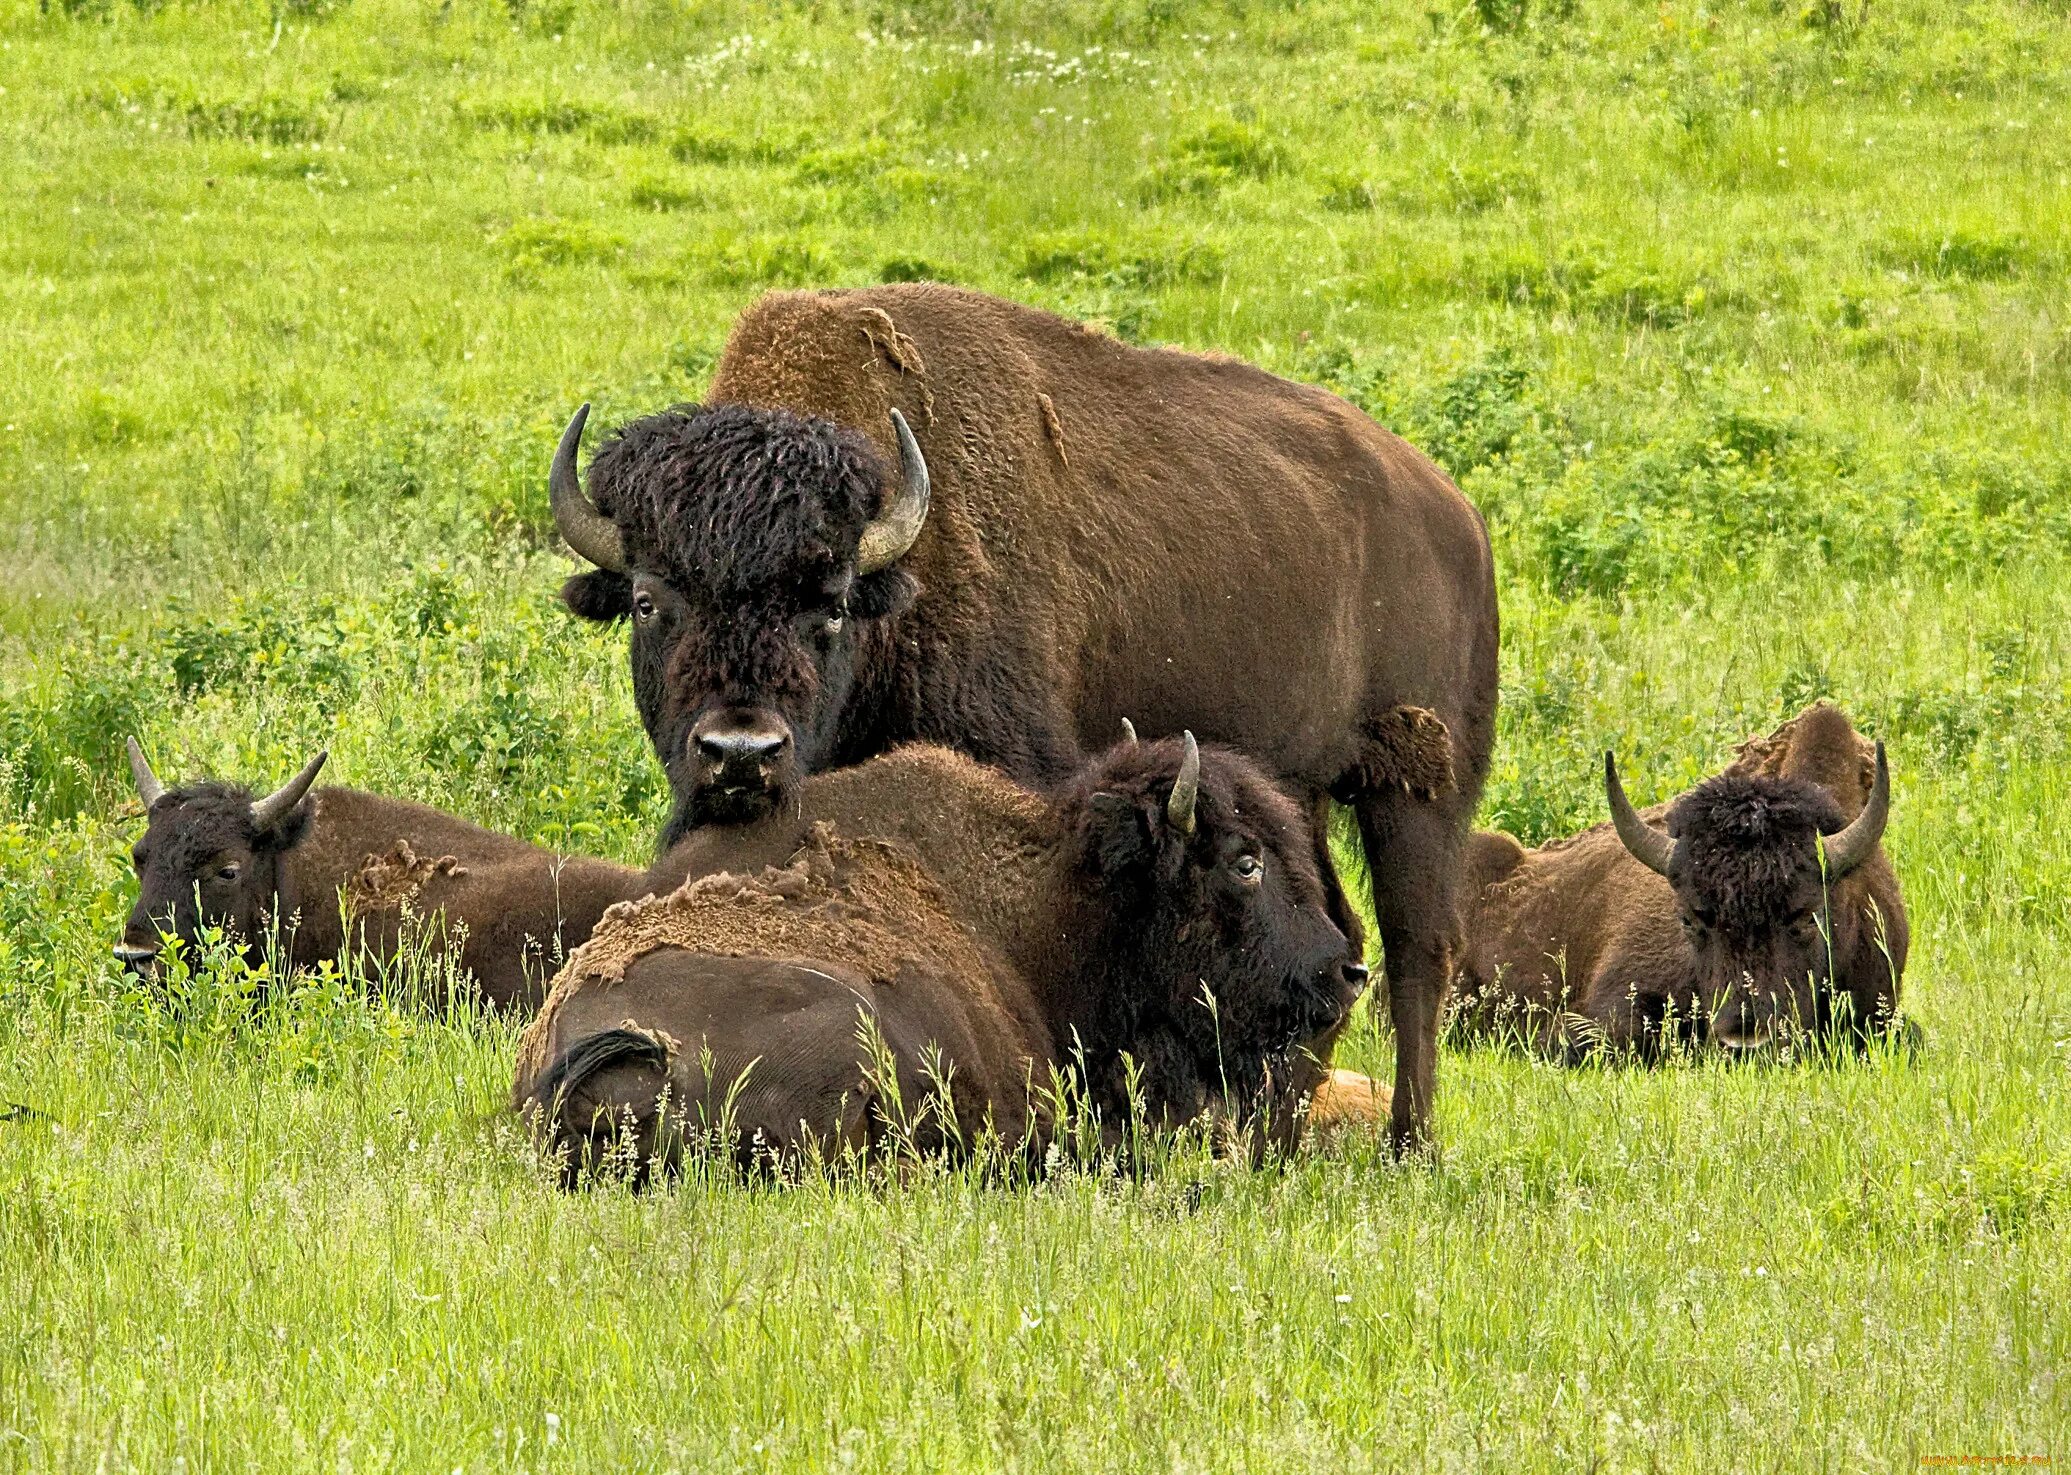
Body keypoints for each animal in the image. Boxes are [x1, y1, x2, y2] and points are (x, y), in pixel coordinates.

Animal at [542, 279, 1499, 1151]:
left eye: (833, 604)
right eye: (647, 600)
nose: (741, 752)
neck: (905, 574)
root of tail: (1452, 512)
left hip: (1415, 785)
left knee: (1415, 951)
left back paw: (1406, 1142)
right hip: (1300, 791)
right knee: (1338, 938)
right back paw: (1278, 1134)